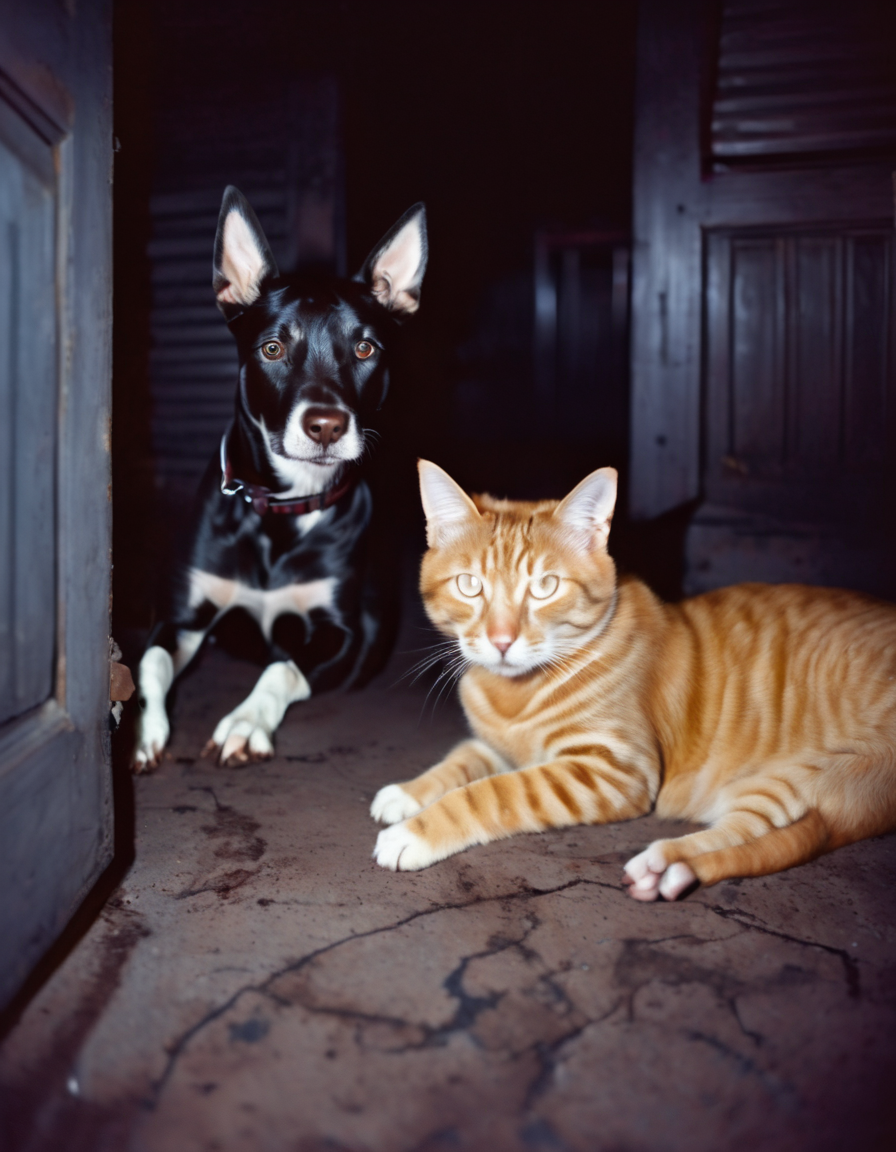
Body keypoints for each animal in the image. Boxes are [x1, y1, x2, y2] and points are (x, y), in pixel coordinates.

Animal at [131, 184, 426, 769]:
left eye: (365, 348)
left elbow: (281, 668)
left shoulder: (342, 634)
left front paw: (245, 724)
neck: (284, 509)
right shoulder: (184, 615)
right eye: (273, 347)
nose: (327, 426)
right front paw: (143, 729)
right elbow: (150, 661)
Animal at [370, 458, 893, 898]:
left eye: (545, 587)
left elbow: (492, 793)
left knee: (755, 837)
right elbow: (460, 760)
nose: (501, 641)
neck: (514, 695)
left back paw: (669, 864)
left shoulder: (614, 771)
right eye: (469, 586)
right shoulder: (499, 747)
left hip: (794, 778)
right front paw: (409, 792)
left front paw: (416, 831)